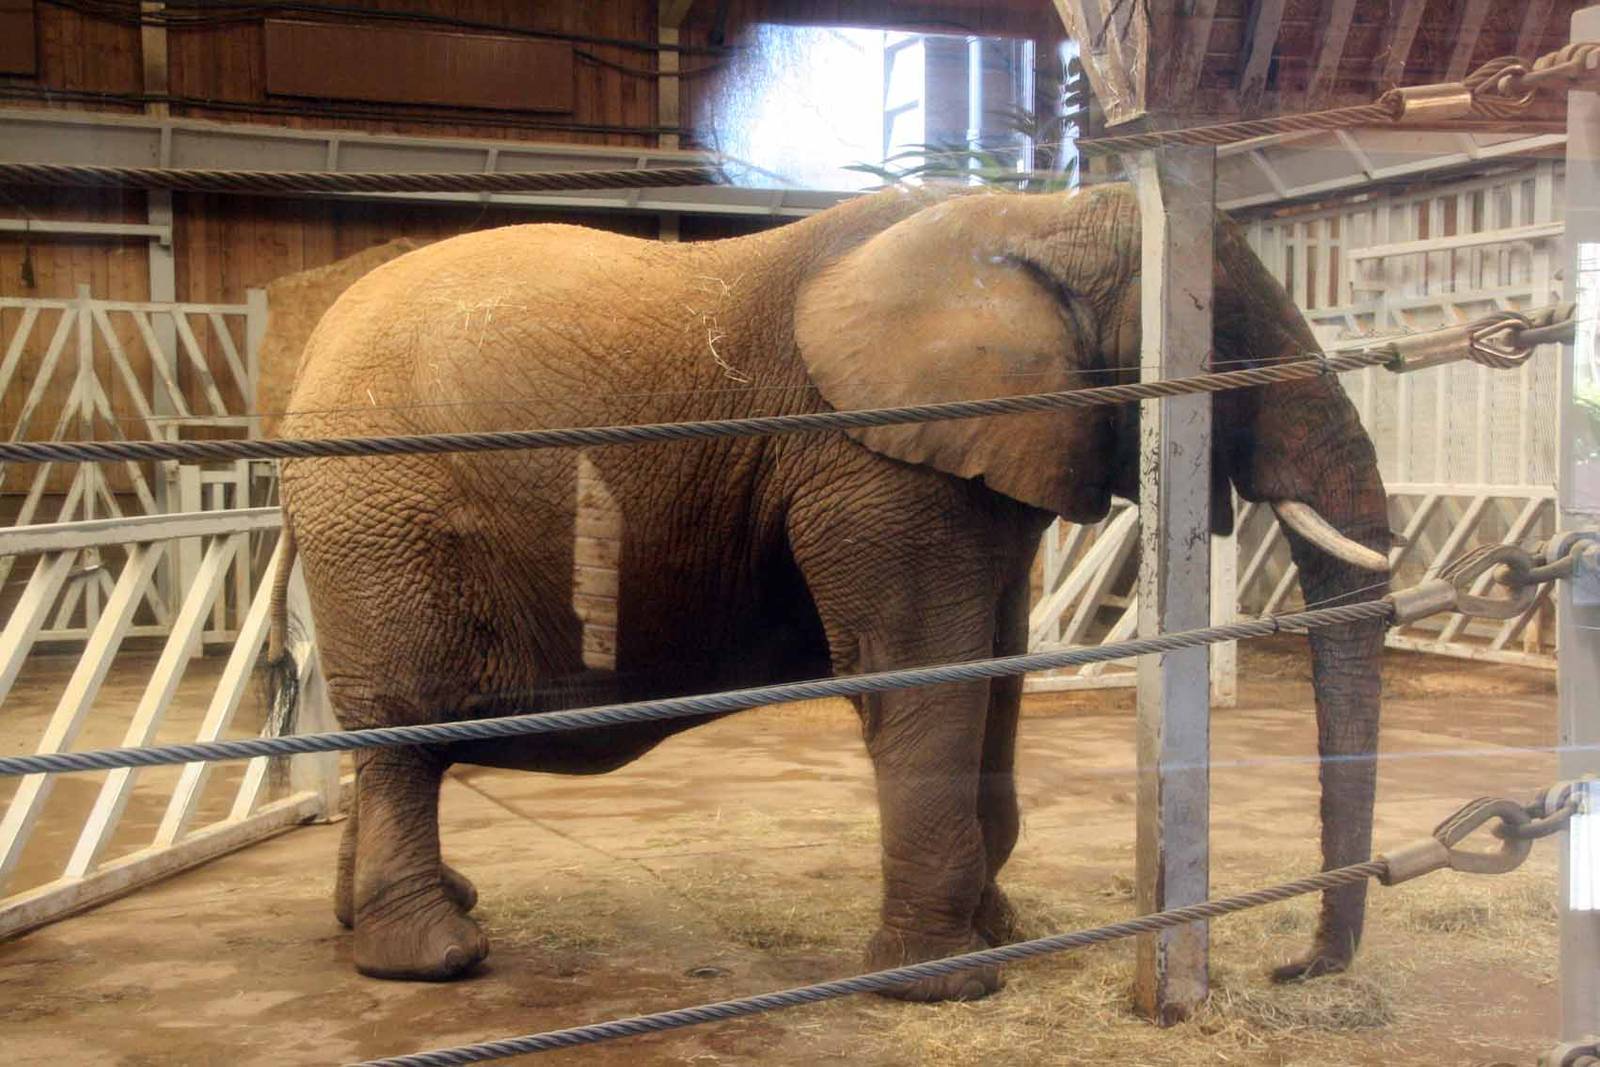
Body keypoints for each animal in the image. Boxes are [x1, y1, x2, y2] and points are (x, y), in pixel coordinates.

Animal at [269, 182, 1391, 998]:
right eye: (1229, 352)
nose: (1291, 968)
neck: (1037, 217)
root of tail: (305, 362)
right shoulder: (870, 463)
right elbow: (924, 671)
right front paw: (944, 982)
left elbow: (997, 668)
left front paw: (999, 935)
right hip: (381, 518)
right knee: (405, 732)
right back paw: (435, 957)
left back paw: (407, 913)